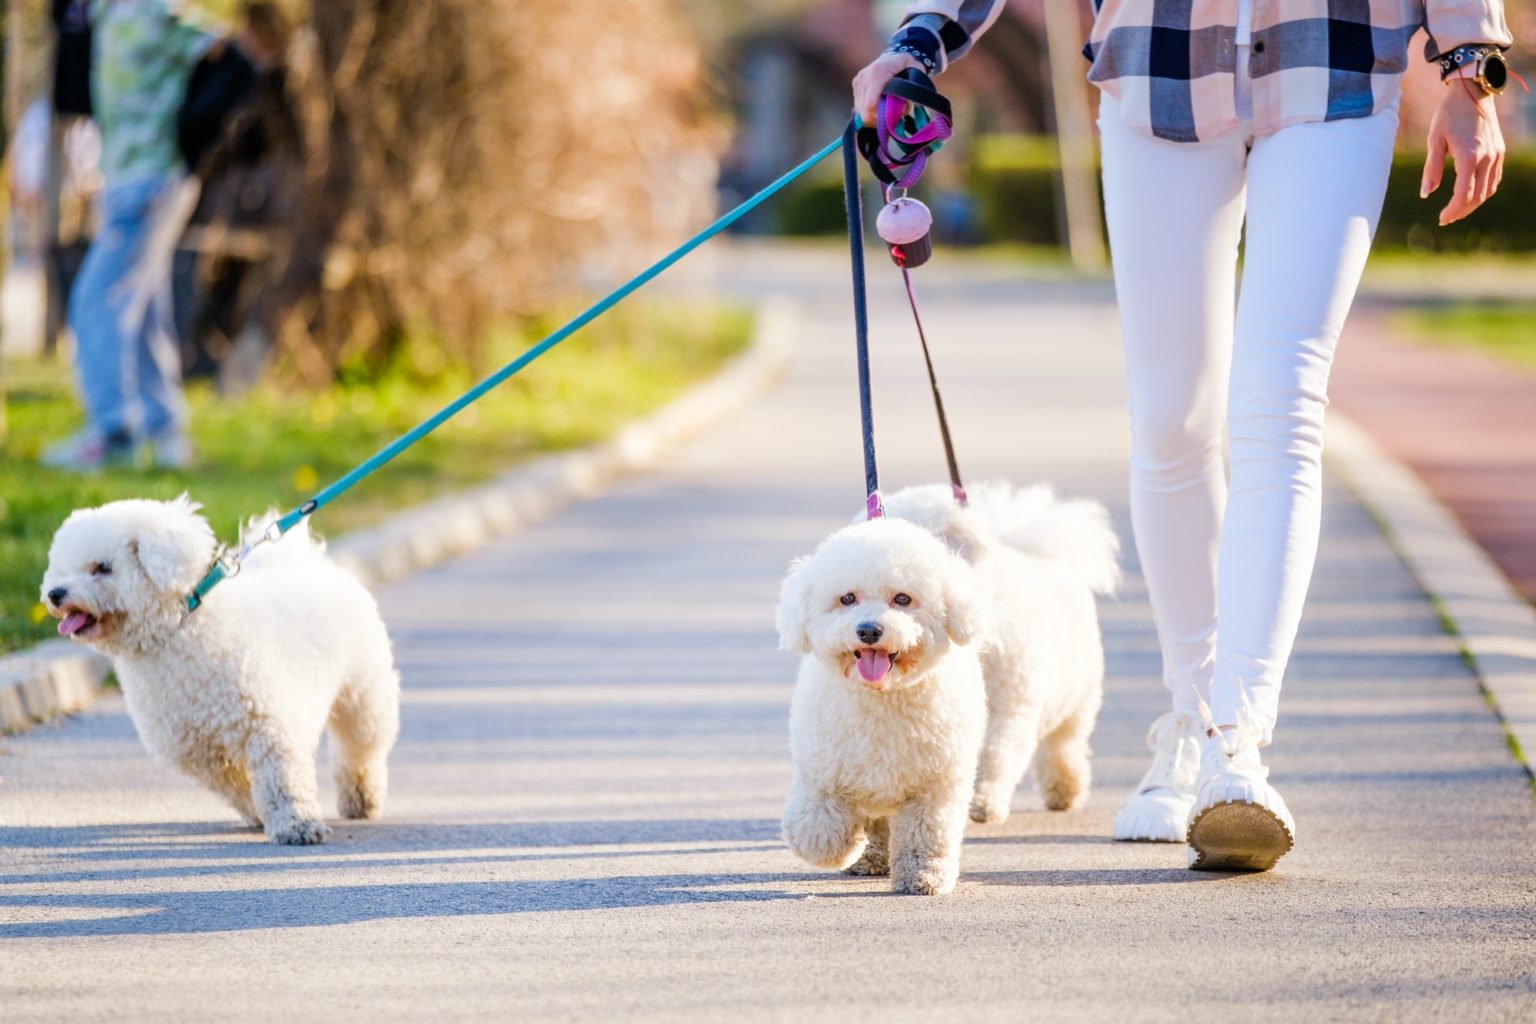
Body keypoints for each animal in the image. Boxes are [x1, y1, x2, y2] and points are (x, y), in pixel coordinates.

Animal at [43, 497, 402, 847]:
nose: (54, 594)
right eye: (60, 569)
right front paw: (259, 814)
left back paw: (361, 799)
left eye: (102, 567)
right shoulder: (198, 750)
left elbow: (282, 783)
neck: (178, 630)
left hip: (364, 695)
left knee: (360, 749)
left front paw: (297, 825)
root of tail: (310, 561)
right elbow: (238, 785)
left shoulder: (270, 728)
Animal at [780, 515, 983, 890]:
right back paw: (866, 857)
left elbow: (926, 835)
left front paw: (923, 875)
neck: (881, 698)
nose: (869, 630)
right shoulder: (821, 768)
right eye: (847, 598)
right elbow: (816, 829)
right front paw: (842, 847)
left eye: (902, 598)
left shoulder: (936, 785)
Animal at [878, 482, 1118, 822]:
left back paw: (1065, 789)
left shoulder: (1011, 707)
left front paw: (984, 801)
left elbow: (998, 753)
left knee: (1064, 742)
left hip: (1080, 696)